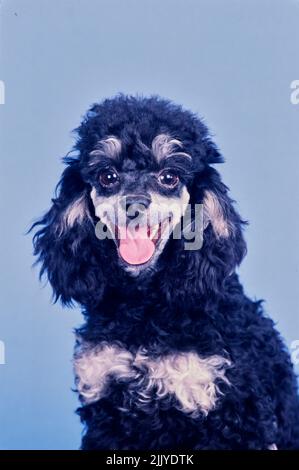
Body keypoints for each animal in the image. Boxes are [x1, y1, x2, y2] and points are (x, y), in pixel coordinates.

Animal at [32, 93, 299, 450]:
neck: (145, 308)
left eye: (169, 177)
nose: (134, 204)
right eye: (107, 176)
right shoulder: (108, 410)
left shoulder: (236, 415)